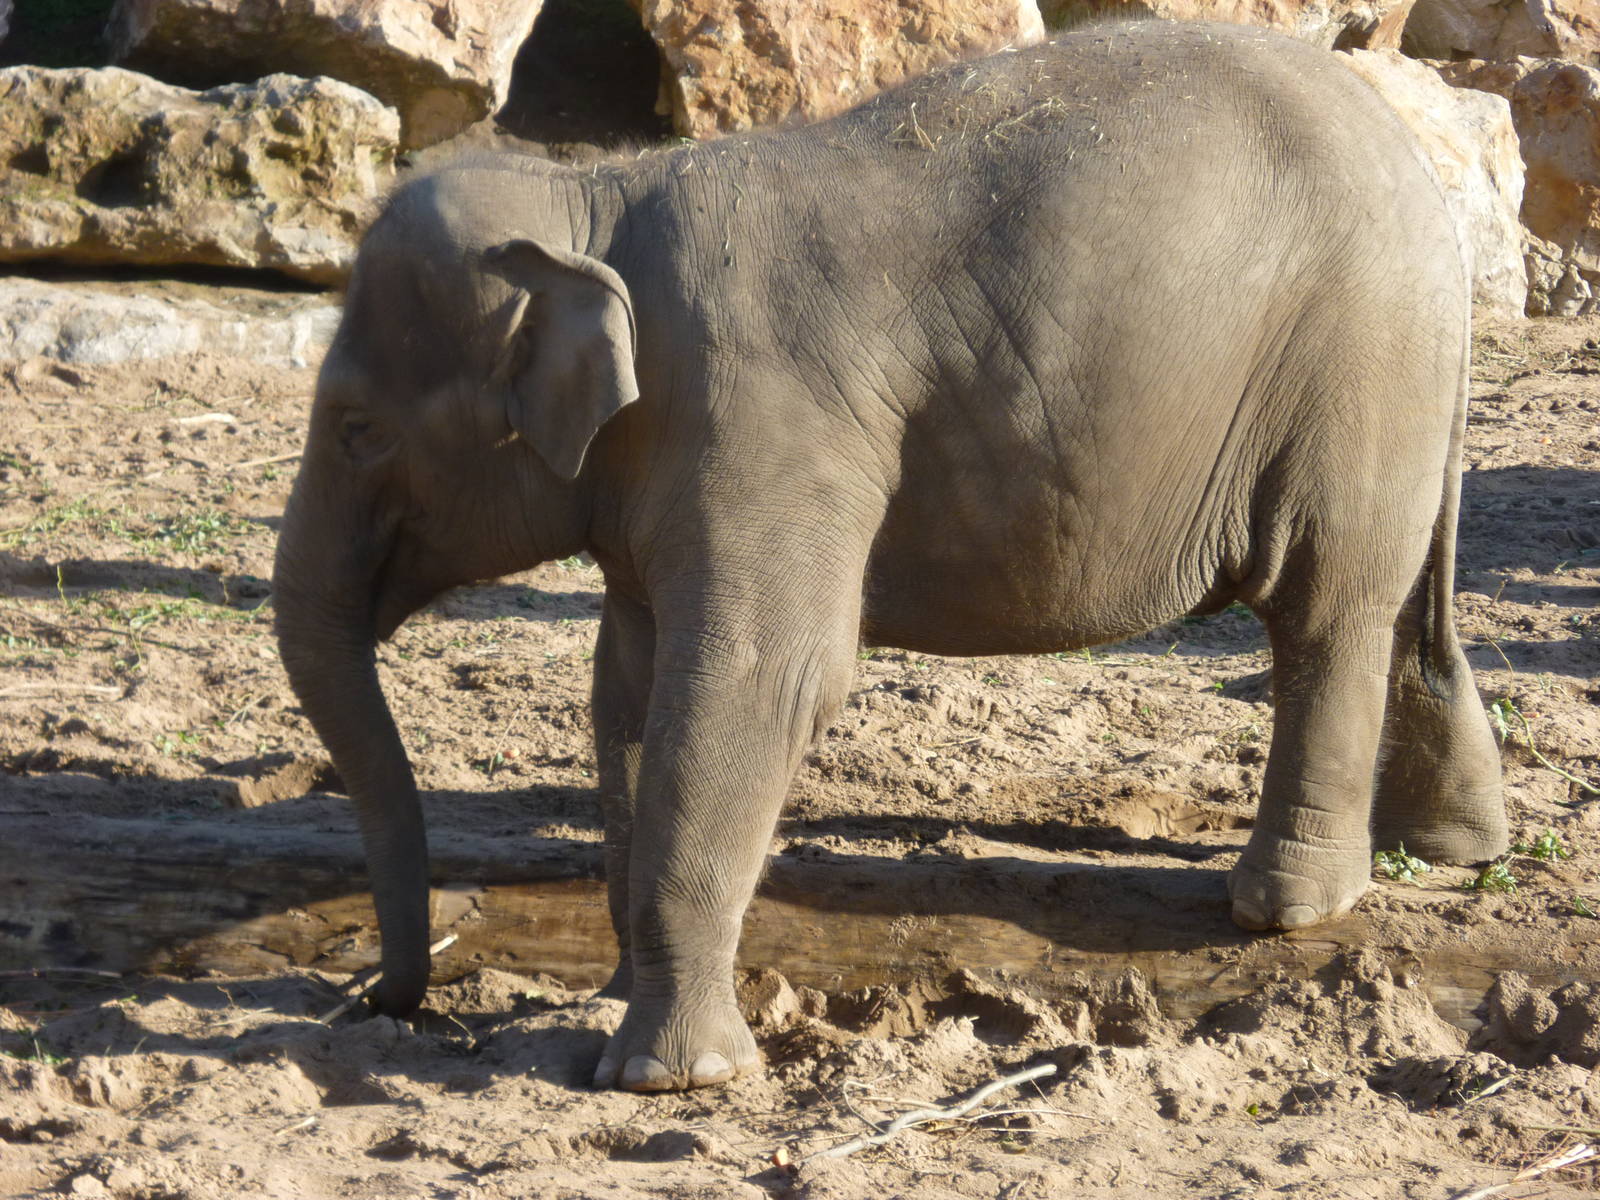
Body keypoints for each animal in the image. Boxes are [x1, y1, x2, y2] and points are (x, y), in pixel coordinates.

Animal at [273, 19, 1508, 1093]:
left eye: (357, 429)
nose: (384, 1002)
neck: (597, 201)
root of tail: (1429, 182)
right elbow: (627, 687)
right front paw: (621, 994)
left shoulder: (762, 419)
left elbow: (753, 683)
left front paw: (667, 1079)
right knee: (1403, 609)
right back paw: (1449, 845)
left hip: (1352, 368)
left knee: (1324, 613)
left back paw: (1288, 909)